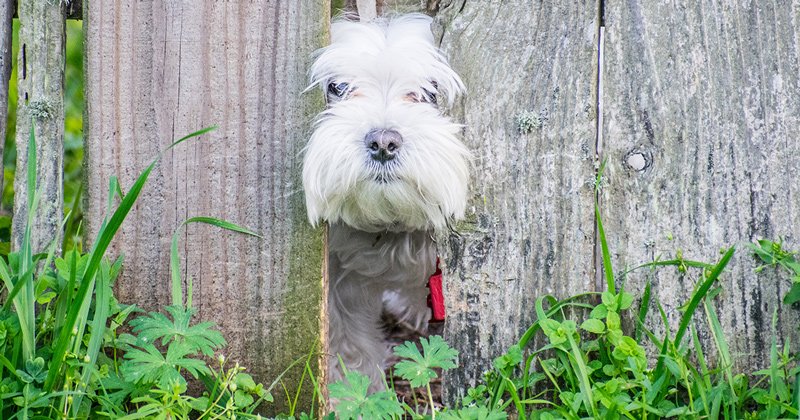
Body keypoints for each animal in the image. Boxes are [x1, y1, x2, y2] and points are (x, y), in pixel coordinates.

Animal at [304, 13, 468, 390]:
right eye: (338, 88)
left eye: (429, 91)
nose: (383, 142)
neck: (393, 222)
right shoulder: (337, 278)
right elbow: (349, 346)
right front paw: (355, 394)